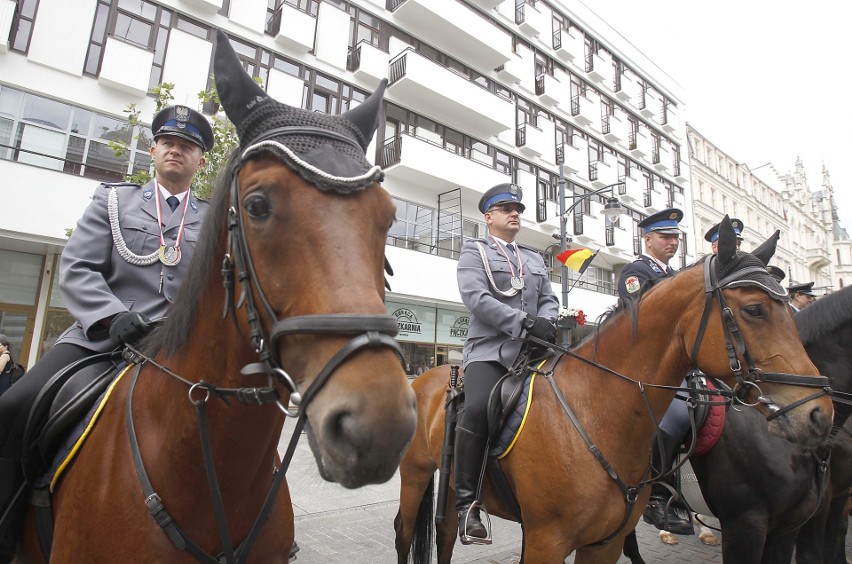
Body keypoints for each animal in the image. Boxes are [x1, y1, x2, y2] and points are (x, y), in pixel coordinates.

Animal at [398, 219, 832, 564]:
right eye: (755, 310)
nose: (819, 413)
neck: (595, 411)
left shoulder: (603, 543)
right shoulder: (546, 541)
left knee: (445, 537)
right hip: (416, 474)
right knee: (405, 533)